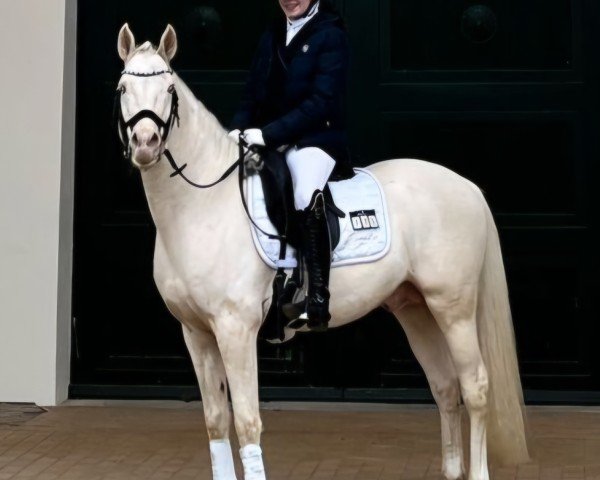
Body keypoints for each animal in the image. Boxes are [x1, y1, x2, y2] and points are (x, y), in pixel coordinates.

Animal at [115, 24, 528, 480]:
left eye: (169, 89)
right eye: (122, 89)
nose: (146, 143)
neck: (202, 205)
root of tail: (467, 186)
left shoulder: (235, 329)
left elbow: (247, 421)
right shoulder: (196, 333)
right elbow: (216, 421)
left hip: (453, 308)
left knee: (475, 387)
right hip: (415, 309)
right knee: (445, 386)